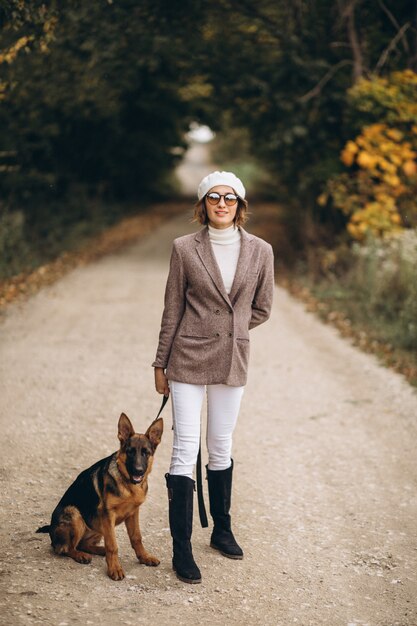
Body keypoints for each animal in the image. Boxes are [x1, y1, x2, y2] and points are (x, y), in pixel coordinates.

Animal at [36, 410, 162, 580]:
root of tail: (51, 529)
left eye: (145, 453)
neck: (128, 484)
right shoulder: (108, 514)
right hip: (75, 514)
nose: (138, 470)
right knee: (64, 548)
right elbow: (113, 545)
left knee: (82, 544)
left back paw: (99, 550)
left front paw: (145, 557)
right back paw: (80, 555)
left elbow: (136, 538)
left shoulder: (133, 513)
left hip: (98, 528)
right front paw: (114, 568)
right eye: (130, 452)